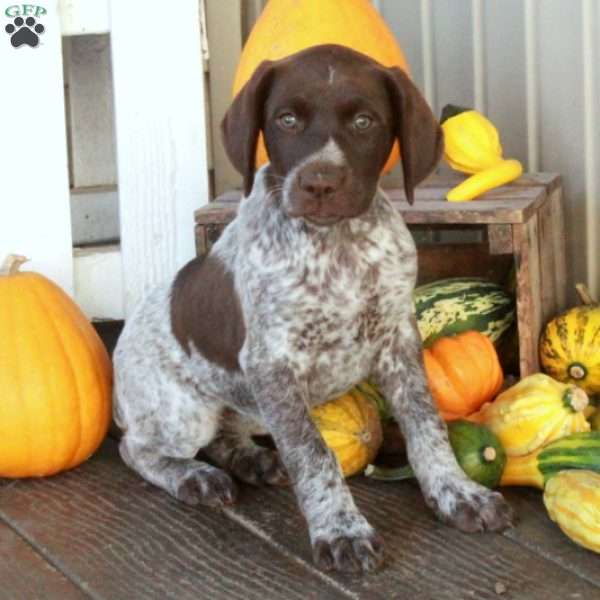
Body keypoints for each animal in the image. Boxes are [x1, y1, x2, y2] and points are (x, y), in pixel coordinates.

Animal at [113, 44, 516, 576]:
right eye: (286, 119)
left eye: (364, 121)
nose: (320, 183)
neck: (337, 246)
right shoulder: (273, 365)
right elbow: (314, 453)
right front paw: (342, 529)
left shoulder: (398, 343)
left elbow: (426, 425)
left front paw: (457, 493)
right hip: (182, 411)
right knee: (137, 448)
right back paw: (193, 477)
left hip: (252, 405)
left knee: (225, 433)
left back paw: (253, 460)